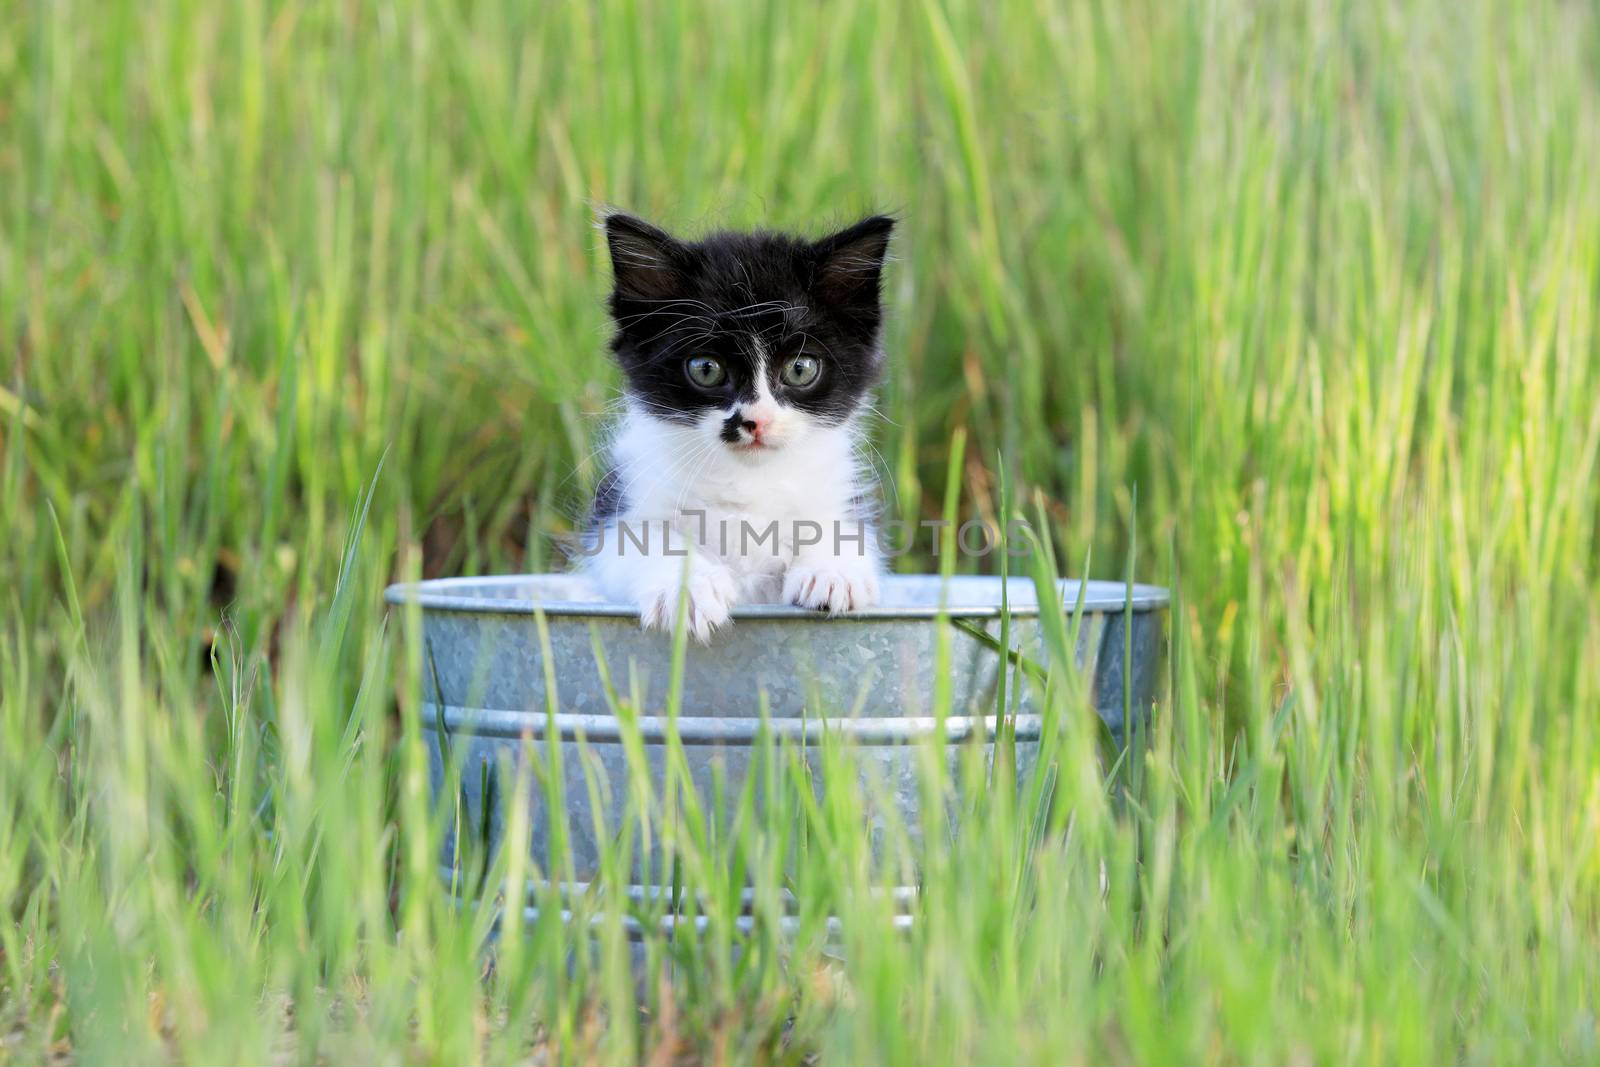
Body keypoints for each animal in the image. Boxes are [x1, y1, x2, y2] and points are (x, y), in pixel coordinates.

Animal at [585, 212, 896, 639]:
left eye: (800, 369)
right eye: (706, 369)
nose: (756, 420)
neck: (747, 480)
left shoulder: (838, 495)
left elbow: (843, 532)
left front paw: (831, 571)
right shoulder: (621, 507)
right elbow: (639, 543)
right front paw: (688, 589)